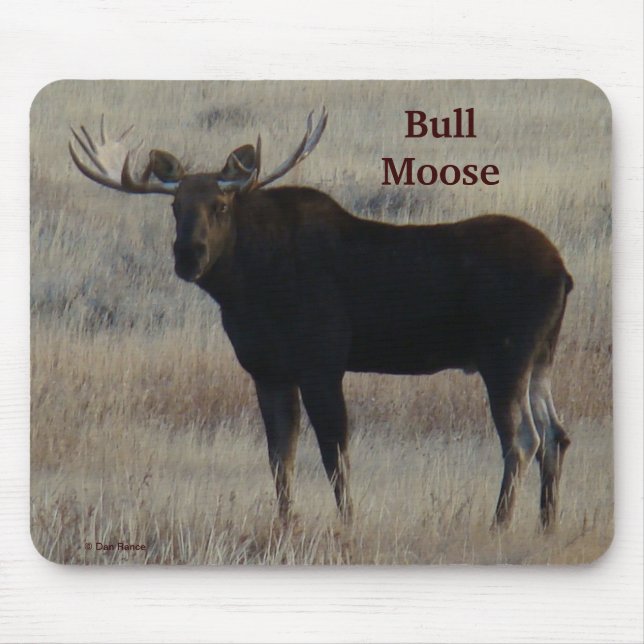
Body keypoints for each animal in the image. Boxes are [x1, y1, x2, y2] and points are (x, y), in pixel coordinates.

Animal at [69, 109, 573, 530]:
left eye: (221, 206)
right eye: (175, 208)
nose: (188, 255)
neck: (247, 289)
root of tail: (564, 274)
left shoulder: (321, 363)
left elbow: (334, 454)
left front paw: (348, 523)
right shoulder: (268, 371)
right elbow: (280, 456)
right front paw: (286, 523)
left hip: (505, 357)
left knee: (523, 439)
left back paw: (499, 525)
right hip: (541, 358)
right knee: (556, 434)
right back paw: (546, 525)